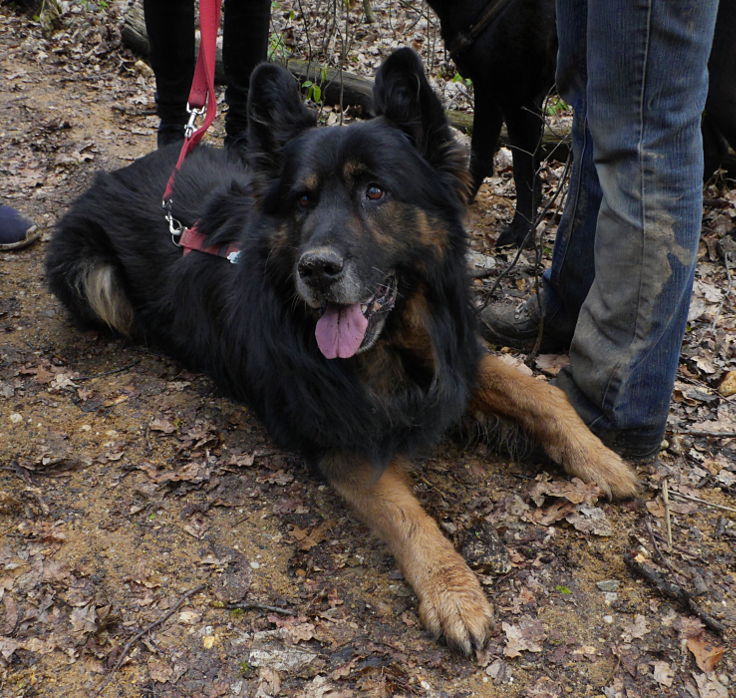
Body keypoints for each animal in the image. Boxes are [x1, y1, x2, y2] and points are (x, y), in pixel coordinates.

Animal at [46, 50, 636, 652]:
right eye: (303, 199)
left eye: (375, 192)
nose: (316, 270)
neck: (391, 339)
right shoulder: (343, 437)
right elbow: (407, 515)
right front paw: (453, 593)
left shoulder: (448, 359)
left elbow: (539, 392)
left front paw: (601, 459)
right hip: (94, 279)